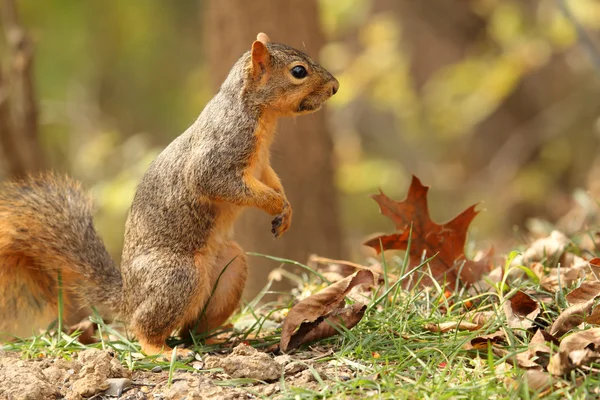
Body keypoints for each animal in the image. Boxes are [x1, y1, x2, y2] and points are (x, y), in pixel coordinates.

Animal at [0, 33, 338, 356]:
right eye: (298, 71)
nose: (335, 87)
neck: (258, 114)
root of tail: (129, 298)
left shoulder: (262, 167)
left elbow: (272, 181)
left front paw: (287, 210)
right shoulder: (218, 156)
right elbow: (216, 182)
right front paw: (275, 203)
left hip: (231, 269)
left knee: (191, 329)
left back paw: (217, 339)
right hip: (177, 277)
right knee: (145, 328)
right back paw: (159, 350)